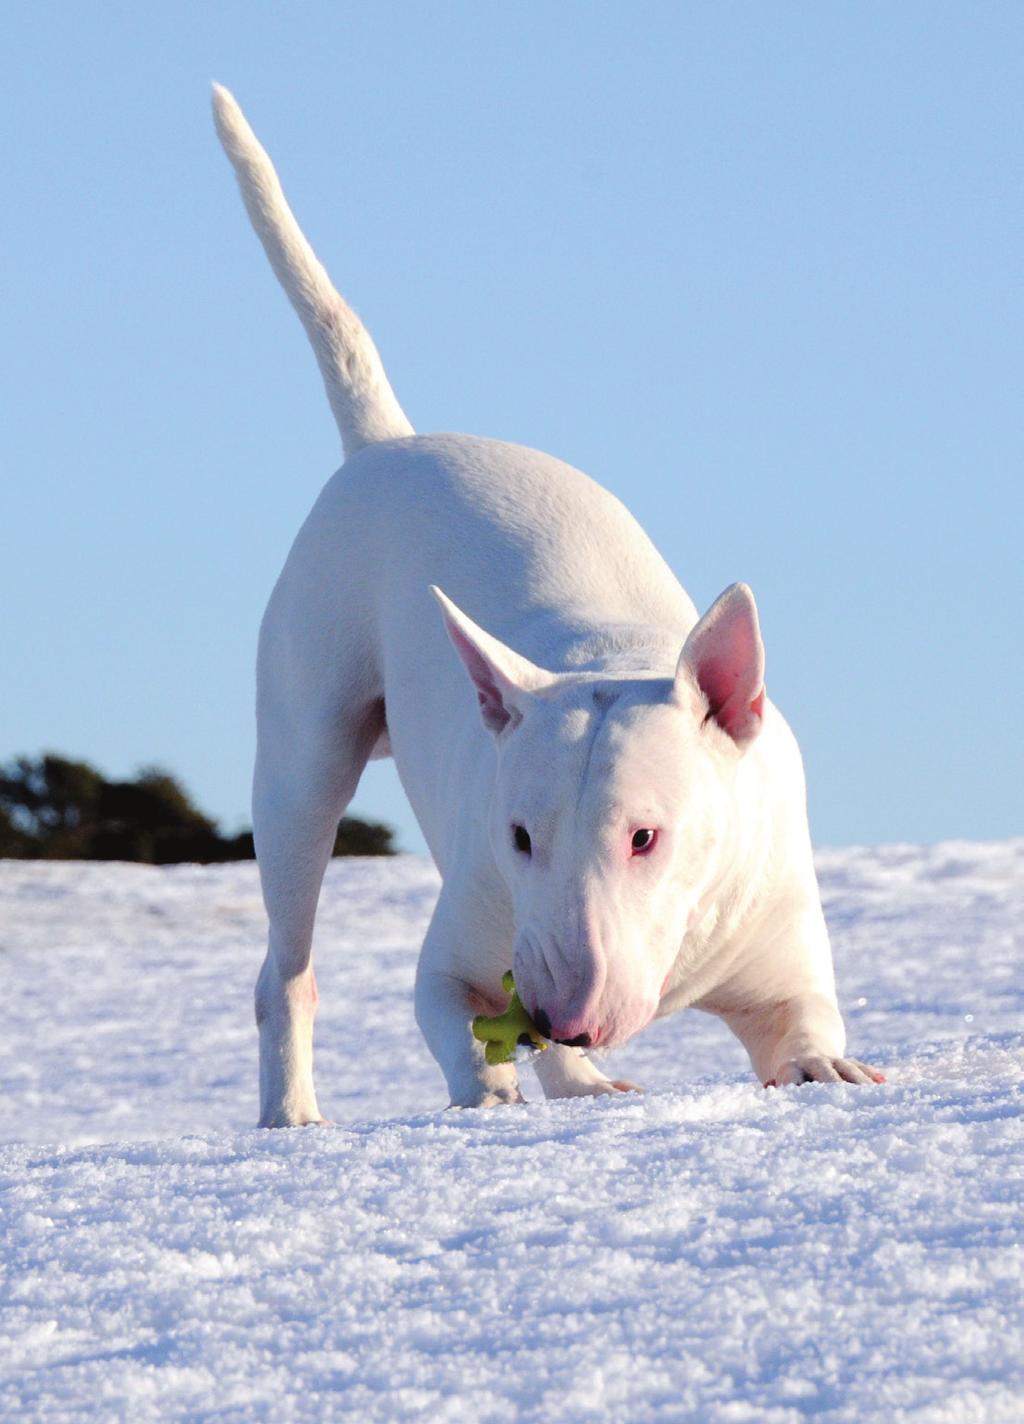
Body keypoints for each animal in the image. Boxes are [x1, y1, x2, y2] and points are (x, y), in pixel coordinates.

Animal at [213, 91, 883, 1133]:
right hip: (302, 748)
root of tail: (389, 444)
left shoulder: (777, 940)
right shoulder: (471, 935)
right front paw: (489, 1088)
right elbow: (444, 1010)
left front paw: (824, 1069)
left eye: (645, 835)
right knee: (287, 958)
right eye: (521, 835)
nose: (561, 1014)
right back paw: (294, 1114)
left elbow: (805, 1024)